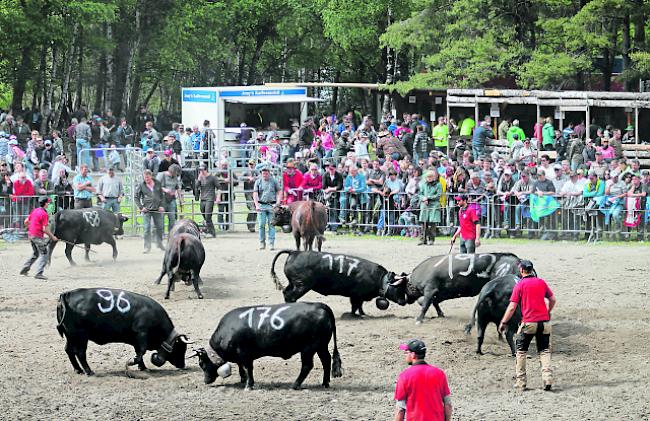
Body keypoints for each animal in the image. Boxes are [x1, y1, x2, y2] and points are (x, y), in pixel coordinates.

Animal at [56, 286, 190, 374]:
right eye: (180, 348)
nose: (183, 365)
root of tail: (66, 294)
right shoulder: (142, 335)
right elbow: (141, 352)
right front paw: (132, 362)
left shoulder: (136, 340)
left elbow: (139, 352)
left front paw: (143, 367)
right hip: (81, 336)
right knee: (80, 353)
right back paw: (89, 371)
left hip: (71, 336)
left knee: (69, 350)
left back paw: (78, 369)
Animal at [268, 249, 404, 316]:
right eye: (399, 288)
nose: (404, 301)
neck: (380, 279)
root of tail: (295, 252)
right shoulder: (356, 295)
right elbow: (356, 305)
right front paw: (358, 315)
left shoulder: (357, 296)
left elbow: (358, 306)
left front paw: (362, 313)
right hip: (301, 285)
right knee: (290, 296)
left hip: (294, 283)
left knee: (286, 293)